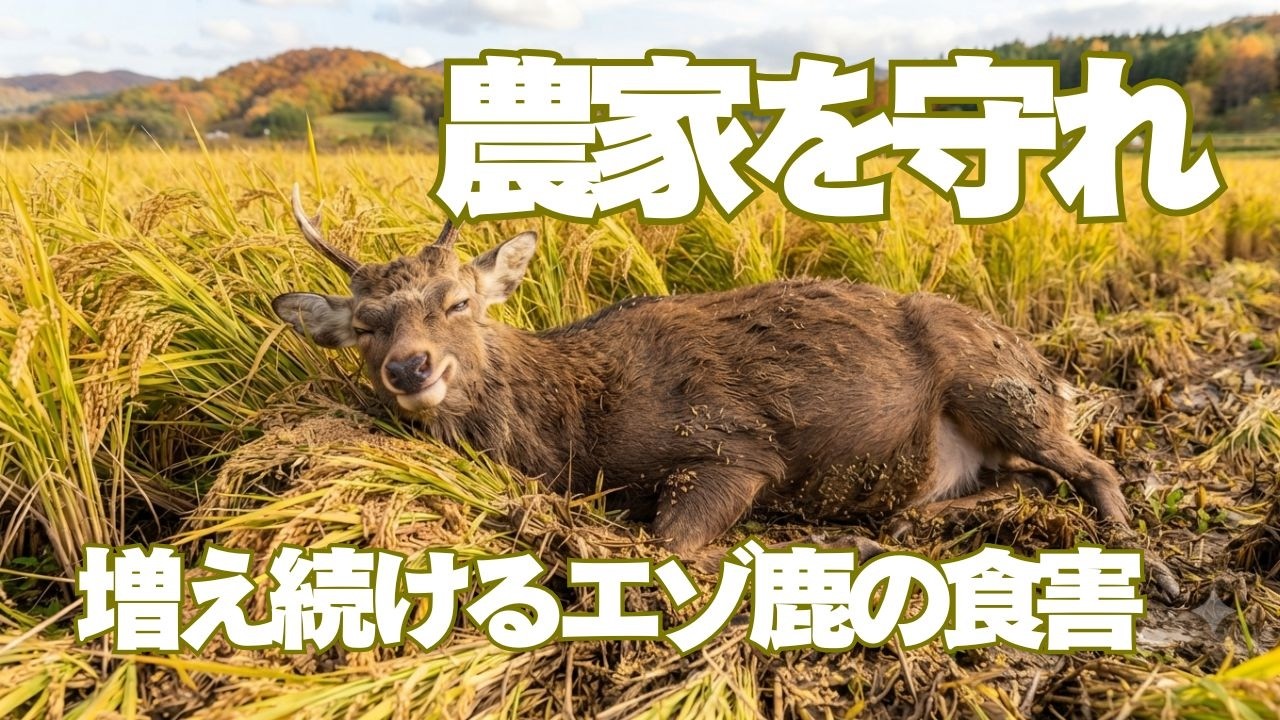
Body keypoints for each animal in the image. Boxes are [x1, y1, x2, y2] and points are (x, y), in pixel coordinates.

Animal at [272, 186, 1179, 598]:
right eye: (365, 325)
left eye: (458, 301)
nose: (411, 368)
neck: (572, 428)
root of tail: (1046, 366)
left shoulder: (732, 445)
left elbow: (667, 543)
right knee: (1016, 482)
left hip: (995, 386)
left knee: (1096, 469)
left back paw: (1147, 563)